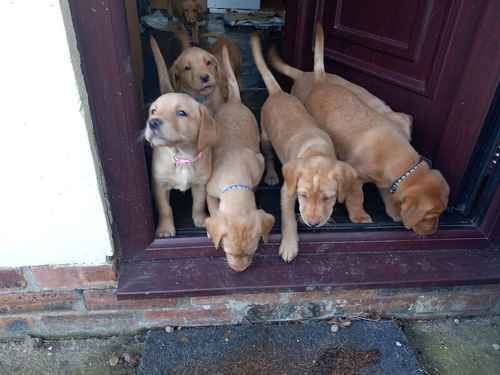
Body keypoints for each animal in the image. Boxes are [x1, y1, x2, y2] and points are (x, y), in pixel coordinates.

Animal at [144, 92, 216, 238]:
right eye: (153, 111)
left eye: (181, 113)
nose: (152, 122)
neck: (182, 157)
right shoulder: (160, 185)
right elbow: (165, 209)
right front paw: (165, 229)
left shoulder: (200, 184)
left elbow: (199, 204)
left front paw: (201, 220)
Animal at [203, 47, 276, 272]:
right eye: (228, 252)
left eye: (252, 253)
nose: (239, 271)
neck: (235, 176)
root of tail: (234, 101)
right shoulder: (209, 191)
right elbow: (213, 210)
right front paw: (210, 230)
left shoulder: (258, 164)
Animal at [252, 33, 358, 262]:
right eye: (303, 195)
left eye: (328, 198)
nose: (313, 223)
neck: (316, 151)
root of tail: (278, 92)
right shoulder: (287, 191)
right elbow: (288, 219)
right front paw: (289, 245)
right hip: (265, 136)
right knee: (269, 156)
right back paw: (271, 175)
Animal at [270, 23, 450, 235]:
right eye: (429, 216)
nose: (433, 232)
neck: (396, 156)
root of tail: (319, 79)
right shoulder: (355, 178)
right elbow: (357, 198)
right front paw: (359, 217)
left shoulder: (387, 183)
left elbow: (389, 196)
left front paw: (394, 213)